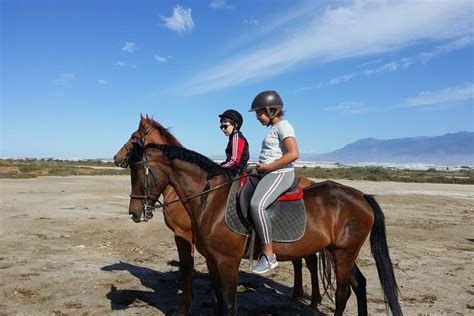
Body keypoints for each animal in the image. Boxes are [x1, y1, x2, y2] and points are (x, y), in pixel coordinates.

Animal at [112, 116, 322, 314]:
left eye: (133, 136)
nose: (116, 158)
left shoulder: (182, 233)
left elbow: (186, 266)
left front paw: (184, 307)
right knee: (300, 260)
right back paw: (300, 296)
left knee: (310, 262)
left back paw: (313, 300)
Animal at [128, 144, 402, 316]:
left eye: (140, 172)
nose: (134, 212)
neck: (211, 200)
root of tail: (361, 196)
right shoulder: (213, 261)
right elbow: (217, 301)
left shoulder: (227, 262)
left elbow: (228, 305)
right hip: (341, 253)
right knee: (359, 284)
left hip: (343, 253)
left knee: (343, 293)